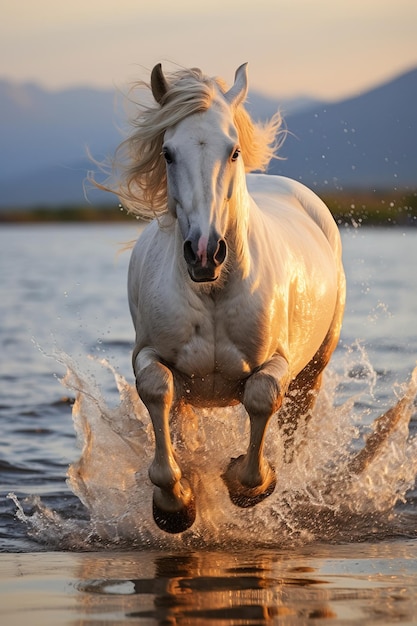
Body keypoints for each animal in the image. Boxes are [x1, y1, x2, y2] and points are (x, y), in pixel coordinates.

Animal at [109, 63, 342, 532]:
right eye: (168, 153)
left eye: (233, 151)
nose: (204, 251)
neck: (214, 292)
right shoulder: (149, 354)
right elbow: (157, 388)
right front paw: (175, 503)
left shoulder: (279, 360)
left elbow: (262, 395)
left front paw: (247, 482)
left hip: (314, 368)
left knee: (295, 423)